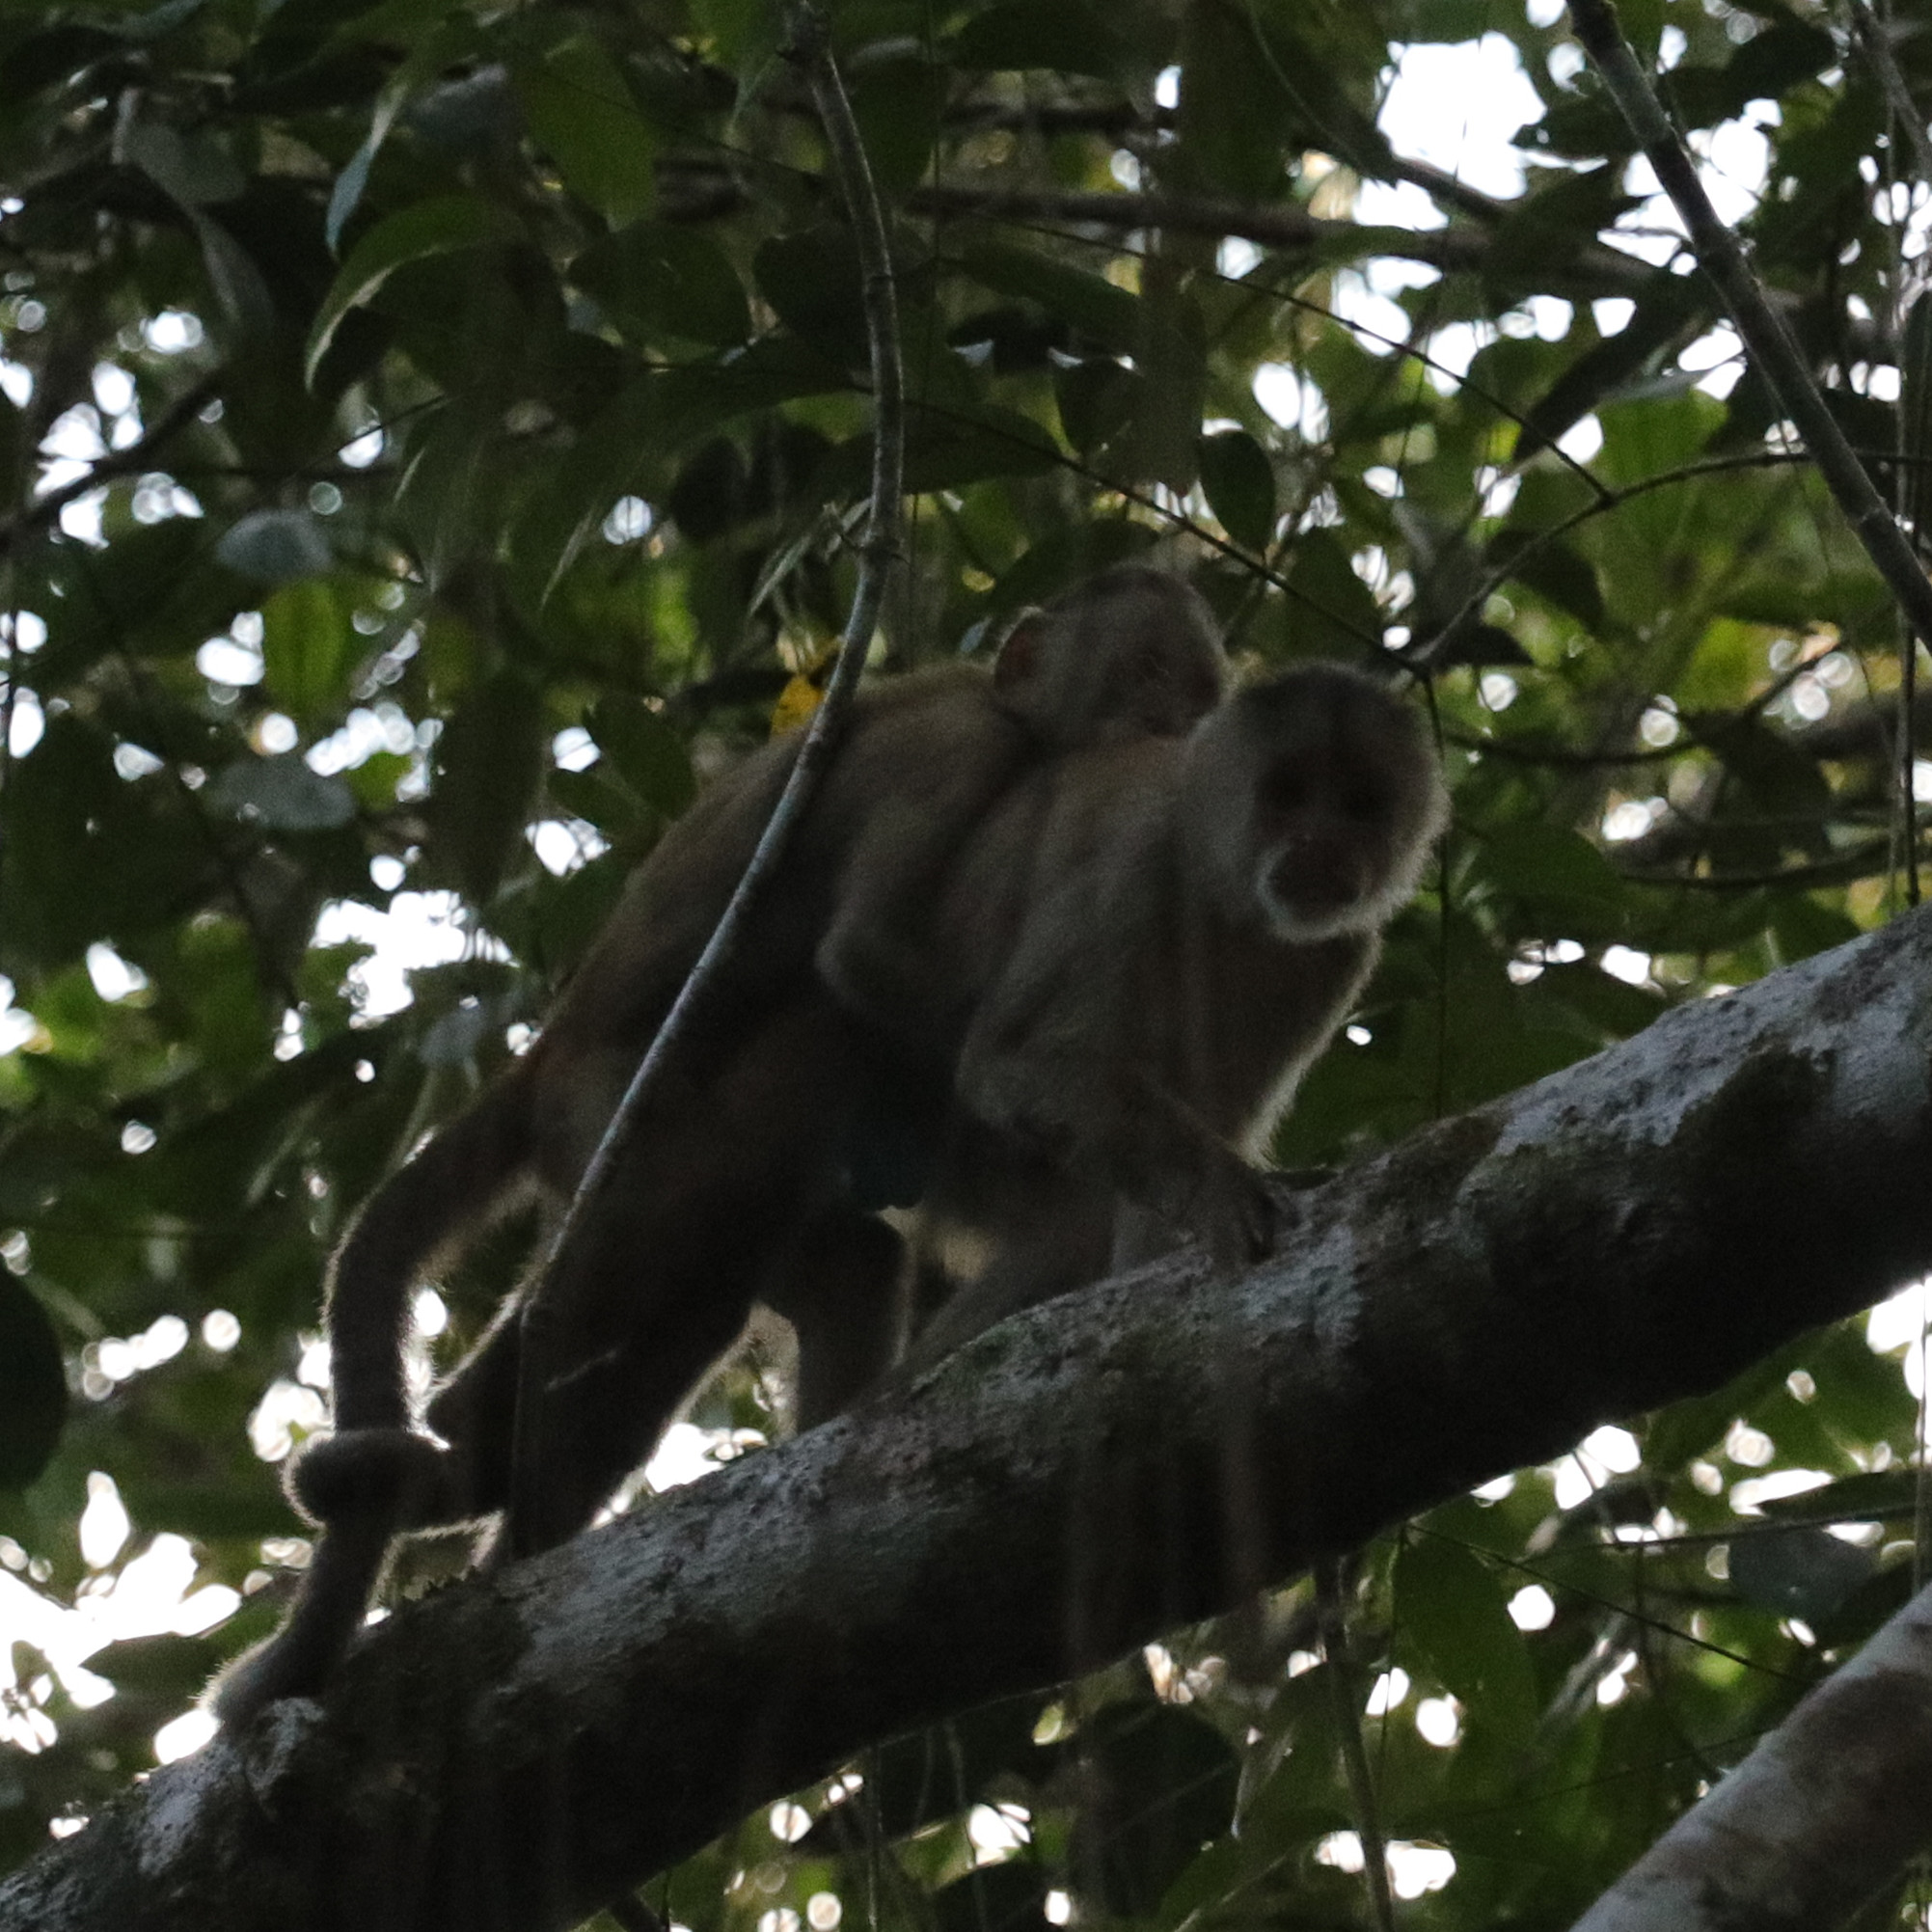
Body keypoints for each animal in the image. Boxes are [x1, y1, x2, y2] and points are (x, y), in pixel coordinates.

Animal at [215, 559, 1236, 1723]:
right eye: (1146, 673)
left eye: (1195, 693)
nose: (1174, 724)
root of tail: (545, 1052)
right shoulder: (955, 750)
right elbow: (869, 953)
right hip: (612, 1121)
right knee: (637, 1262)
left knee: (779, 1278)